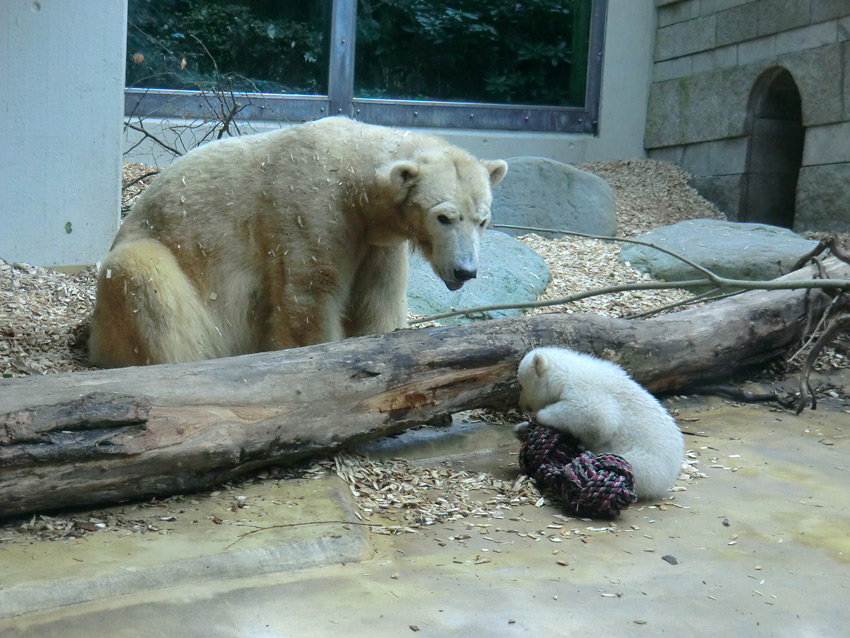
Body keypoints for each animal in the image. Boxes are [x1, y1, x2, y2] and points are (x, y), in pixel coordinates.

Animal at [89, 119, 506, 370]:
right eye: (444, 217)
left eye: (483, 220)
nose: (465, 270)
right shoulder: (309, 209)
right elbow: (309, 295)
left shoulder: (378, 242)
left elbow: (377, 299)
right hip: (153, 258)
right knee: (144, 278)